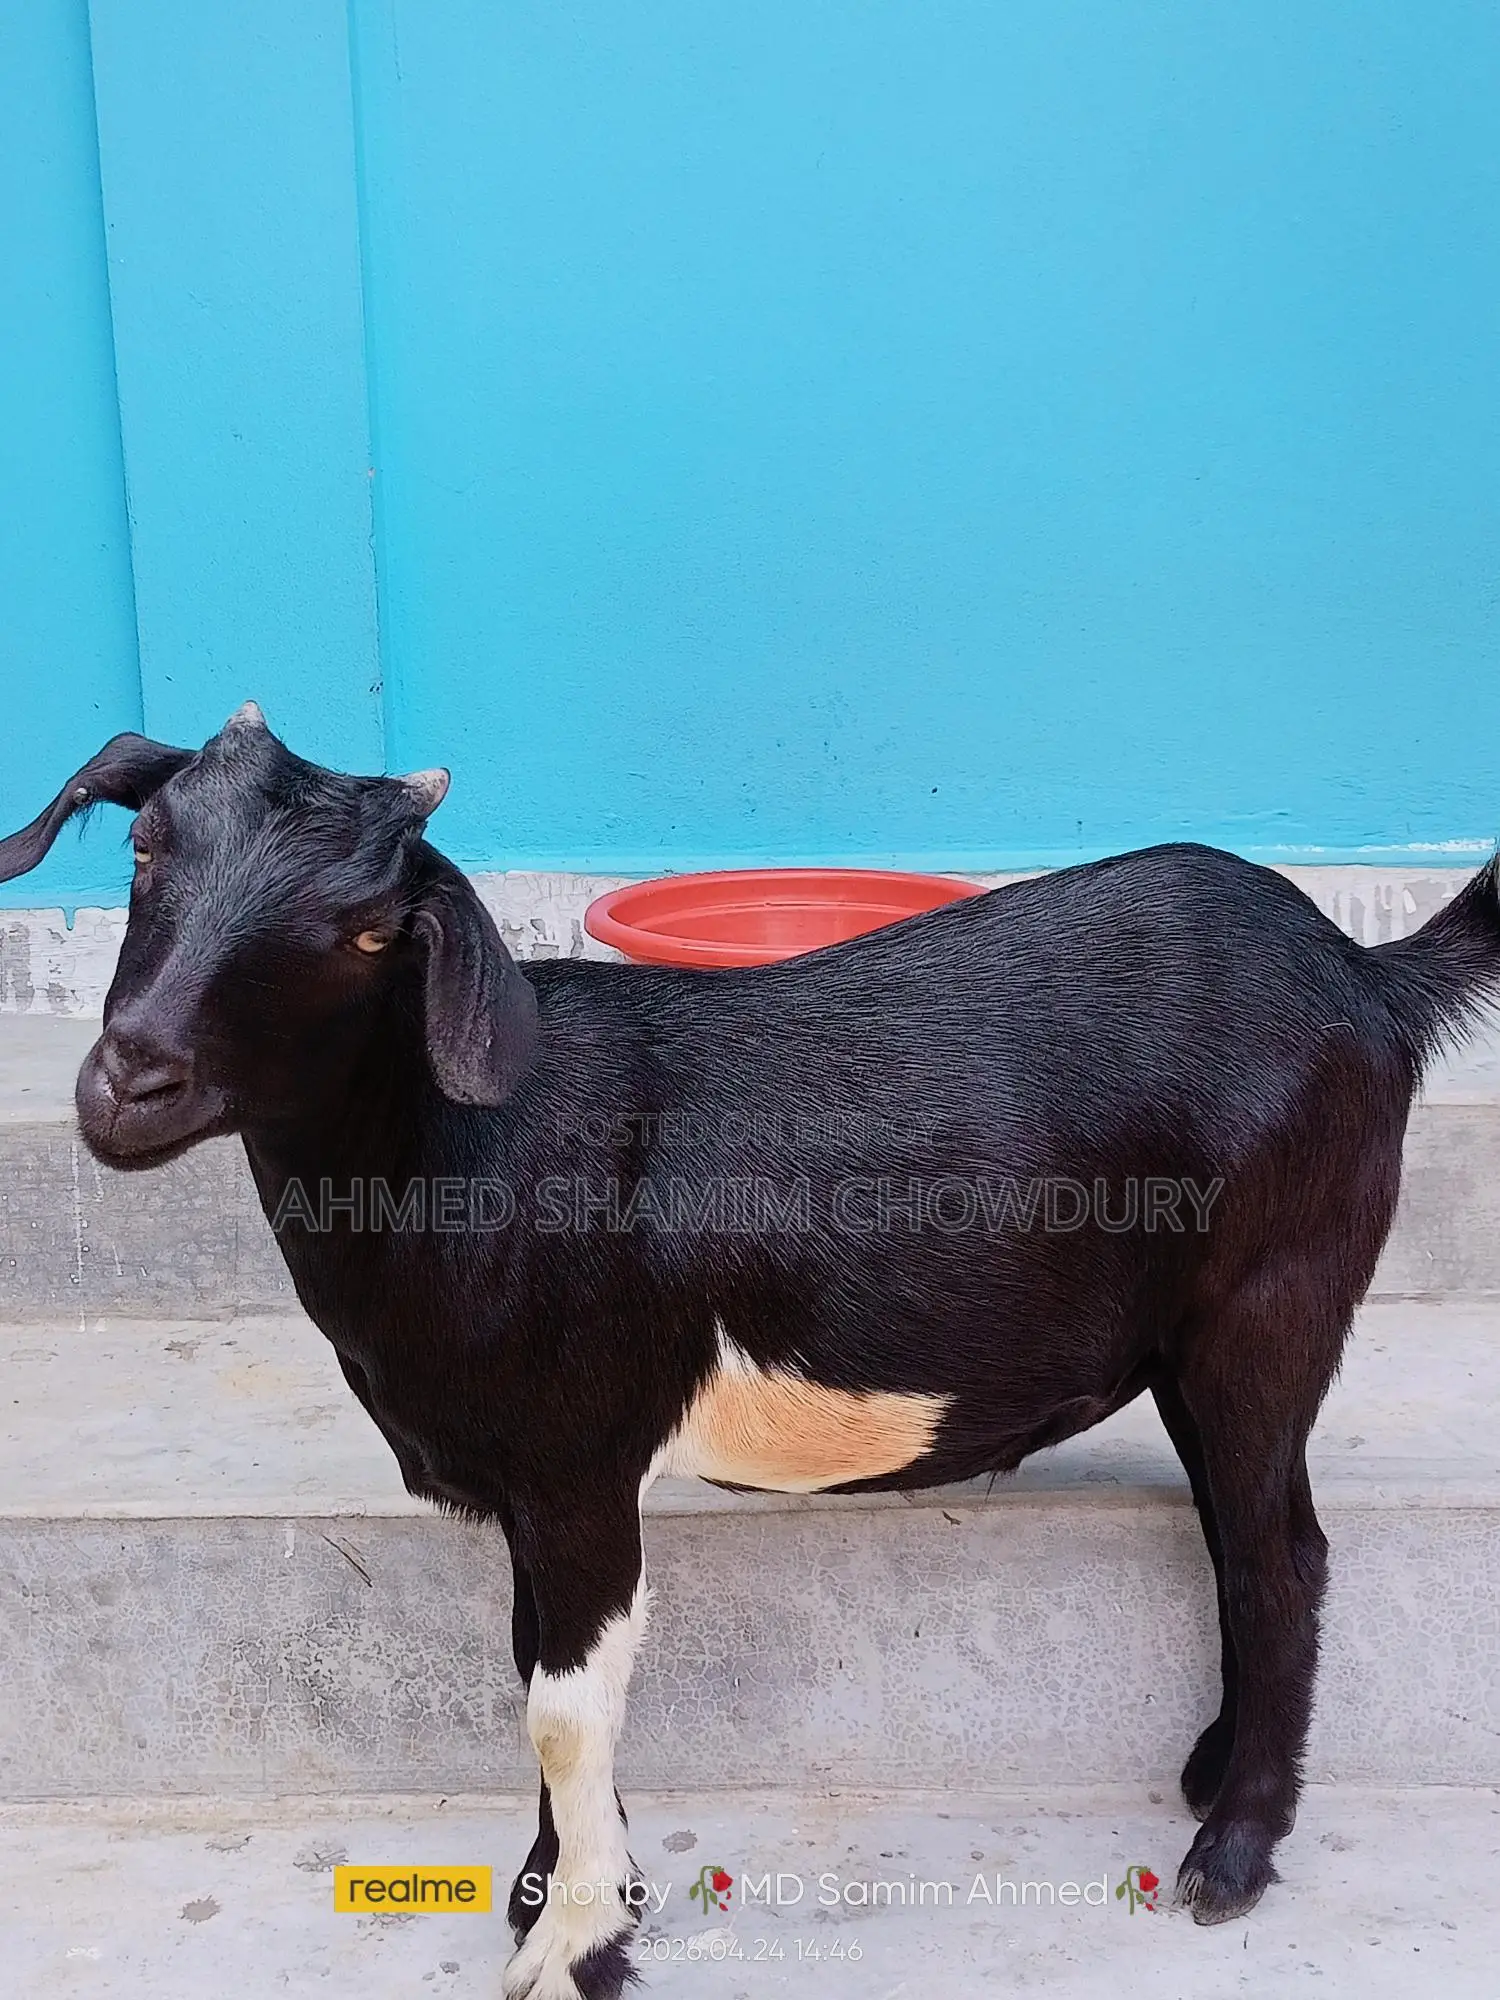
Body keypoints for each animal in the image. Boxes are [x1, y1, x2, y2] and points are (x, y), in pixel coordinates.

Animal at [3, 705, 1497, 1999]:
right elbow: (532, 1666)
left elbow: (565, 1705)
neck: (461, 1151)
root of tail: (1368, 978)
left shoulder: (578, 1454)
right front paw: (547, 1892)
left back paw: (1231, 1856)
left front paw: (578, 1950)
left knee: (1280, 1554)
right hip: (1191, 1336)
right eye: (146, 849)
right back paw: (1211, 1774)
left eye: (369, 929)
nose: (130, 1080)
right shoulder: (527, 1482)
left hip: (1272, 1293)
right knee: (1238, 1536)